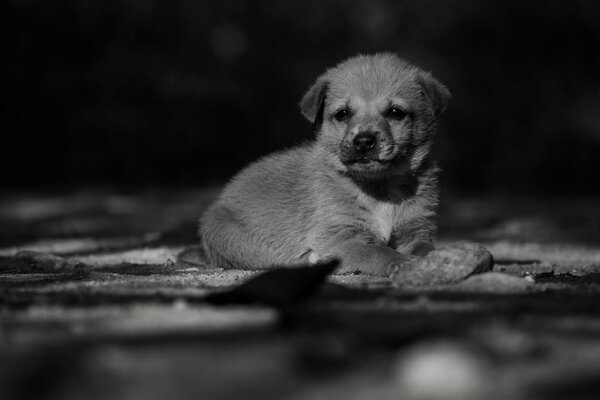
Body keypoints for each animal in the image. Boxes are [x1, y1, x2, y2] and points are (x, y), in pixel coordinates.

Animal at [200, 53, 450, 276]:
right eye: (342, 114)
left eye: (396, 112)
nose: (363, 141)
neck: (380, 187)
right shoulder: (339, 239)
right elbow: (375, 251)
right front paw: (400, 262)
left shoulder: (416, 230)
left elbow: (426, 248)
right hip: (224, 232)